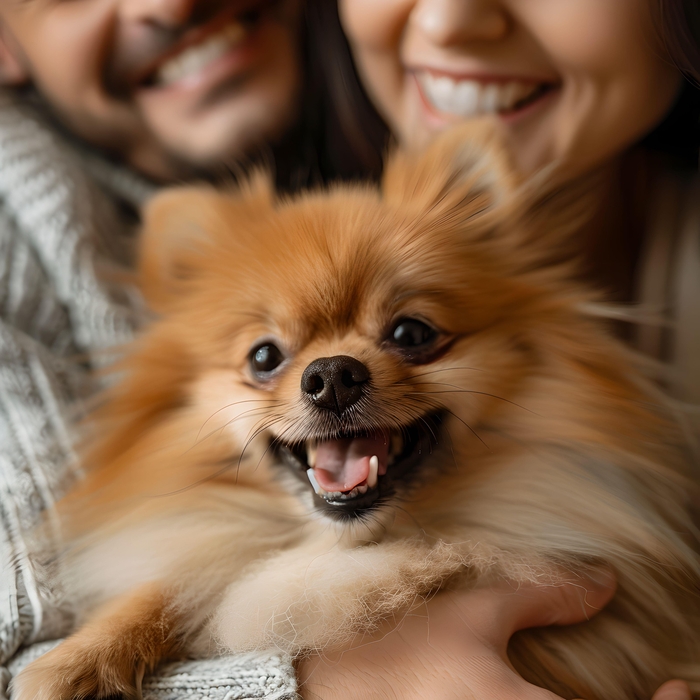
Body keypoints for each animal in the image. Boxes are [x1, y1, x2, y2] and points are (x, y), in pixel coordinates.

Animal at [13, 123, 700, 696]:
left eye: (411, 333)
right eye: (265, 356)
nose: (332, 376)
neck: (354, 555)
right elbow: (171, 582)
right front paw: (76, 661)